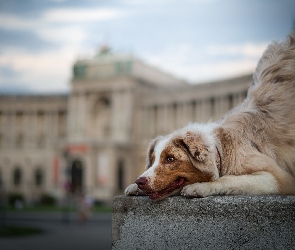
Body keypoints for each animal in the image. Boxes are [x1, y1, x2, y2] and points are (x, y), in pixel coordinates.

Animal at [125, 34, 295, 200]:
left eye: (170, 159)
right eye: (153, 160)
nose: (139, 181)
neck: (222, 150)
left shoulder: (280, 178)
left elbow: (228, 179)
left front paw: (200, 187)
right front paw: (134, 187)